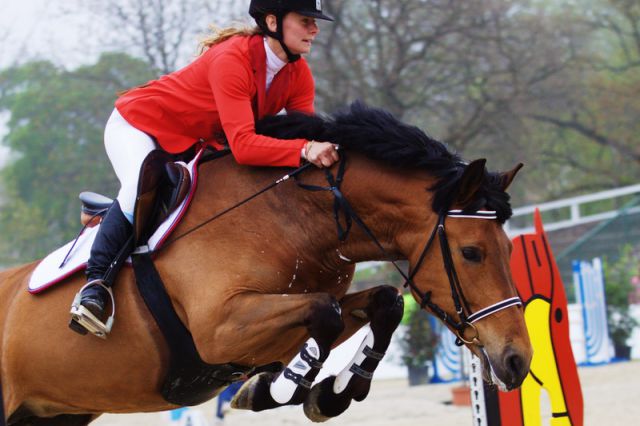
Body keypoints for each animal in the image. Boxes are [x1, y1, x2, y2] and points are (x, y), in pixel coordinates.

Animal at [0, 101, 532, 424]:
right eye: (471, 252)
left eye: (509, 249)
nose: (517, 361)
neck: (296, 217)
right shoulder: (220, 329)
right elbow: (325, 313)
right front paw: (276, 391)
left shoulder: (281, 318)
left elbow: (381, 304)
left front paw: (331, 391)